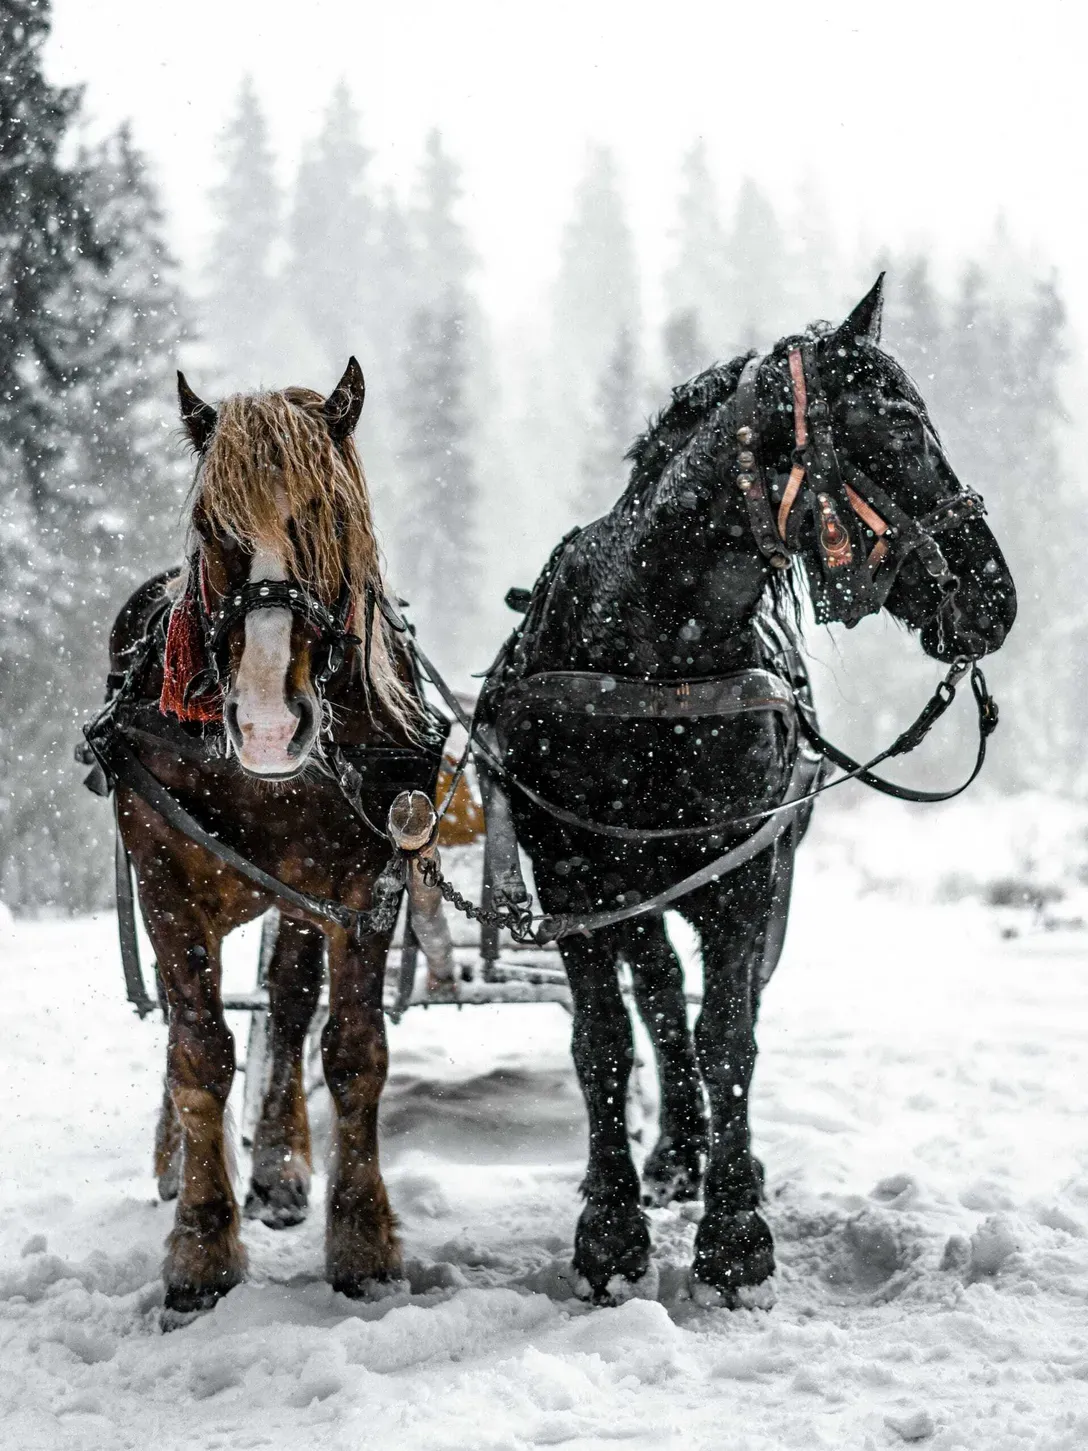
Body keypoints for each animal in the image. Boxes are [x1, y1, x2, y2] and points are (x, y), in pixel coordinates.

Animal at [87, 360, 449, 1321]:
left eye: (324, 514)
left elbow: (352, 1050)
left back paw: (282, 1165)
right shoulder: (162, 870)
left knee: (286, 1004)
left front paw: (362, 1241)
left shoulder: (360, 885)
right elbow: (198, 1049)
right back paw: (178, 1160)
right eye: (214, 528)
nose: (267, 723)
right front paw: (200, 1248)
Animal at [478, 276, 1017, 1306]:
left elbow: (731, 1035)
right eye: (897, 426)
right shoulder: (576, 880)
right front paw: (611, 1231)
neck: (653, 654)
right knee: (657, 996)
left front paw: (734, 1237)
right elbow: (605, 1039)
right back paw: (674, 1152)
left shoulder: (746, 873)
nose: (995, 596)